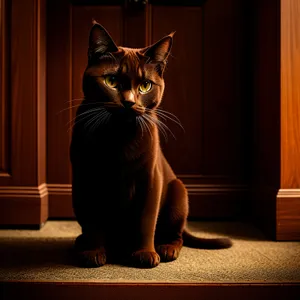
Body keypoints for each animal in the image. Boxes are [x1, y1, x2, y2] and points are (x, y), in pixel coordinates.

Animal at [70, 21, 232, 270]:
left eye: (145, 85)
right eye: (111, 81)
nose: (129, 102)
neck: (119, 137)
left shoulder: (150, 178)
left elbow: (146, 220)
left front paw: (145, 253)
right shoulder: (86, 178)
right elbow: (93, 220)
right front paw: (93, 252)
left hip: (178, 192)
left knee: (177, 235)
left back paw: (167, 249)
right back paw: (82, 243)